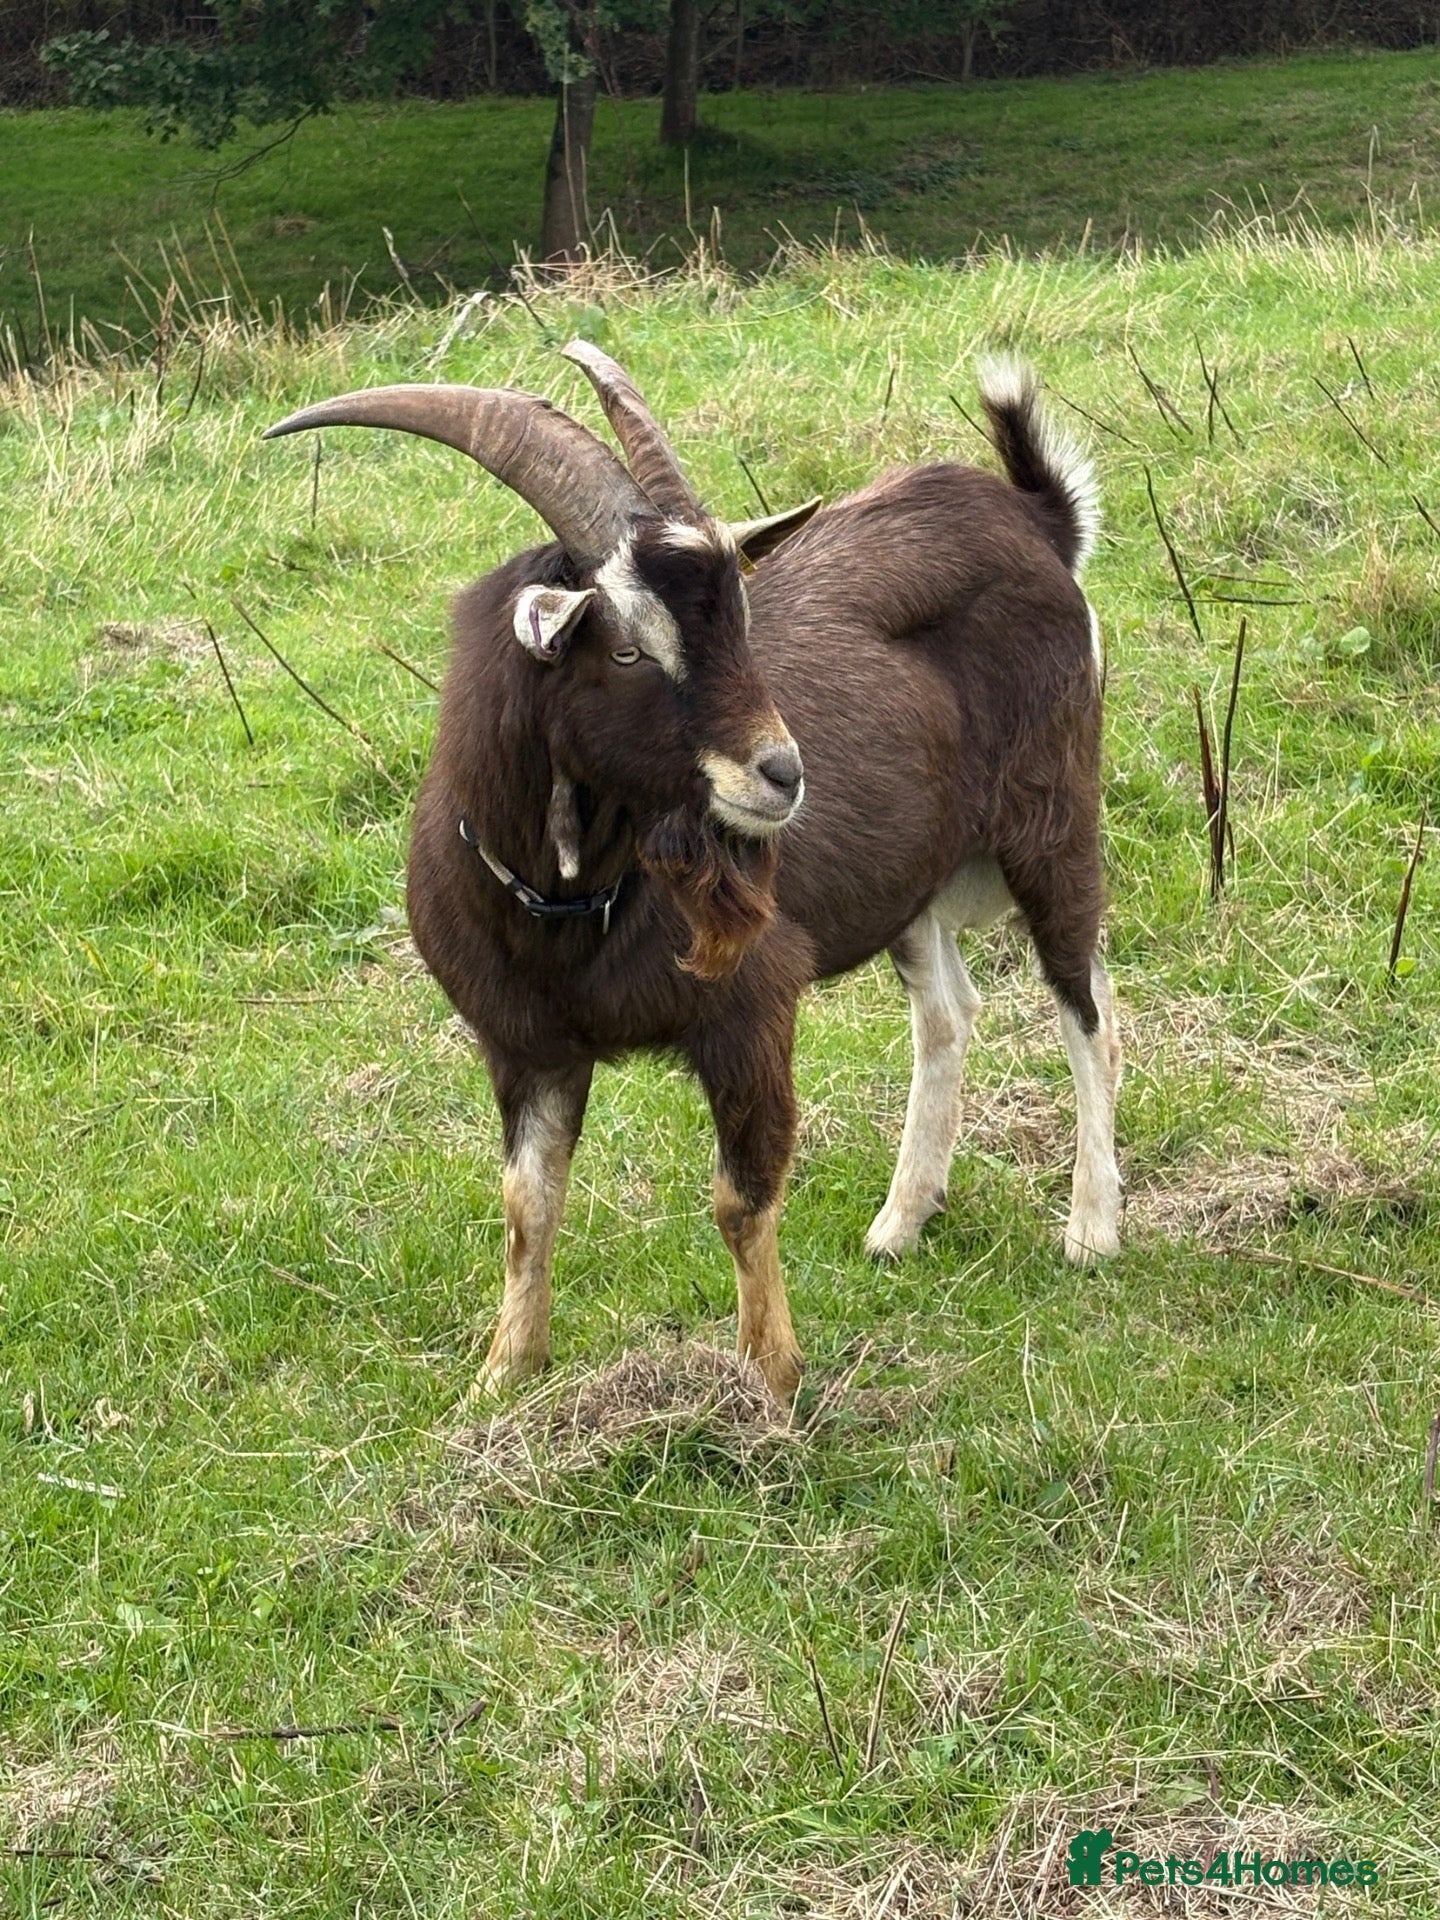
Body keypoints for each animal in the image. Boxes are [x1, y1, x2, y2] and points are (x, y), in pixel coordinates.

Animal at [264, 343, 1121, 1402]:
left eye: (742, 625)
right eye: (629, 649)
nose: (783, 774)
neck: (568, 909)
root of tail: (1033, 518)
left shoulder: (748, 1008)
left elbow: (741, 1199)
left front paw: (770, 1382)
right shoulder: (525, 1046)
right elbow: (526, 1204)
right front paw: (504, 1376)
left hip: (1052, 817)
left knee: (1087, 1005)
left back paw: (1091, 1228)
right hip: (905, 881)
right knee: (949, 1012)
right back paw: (901, 1221)